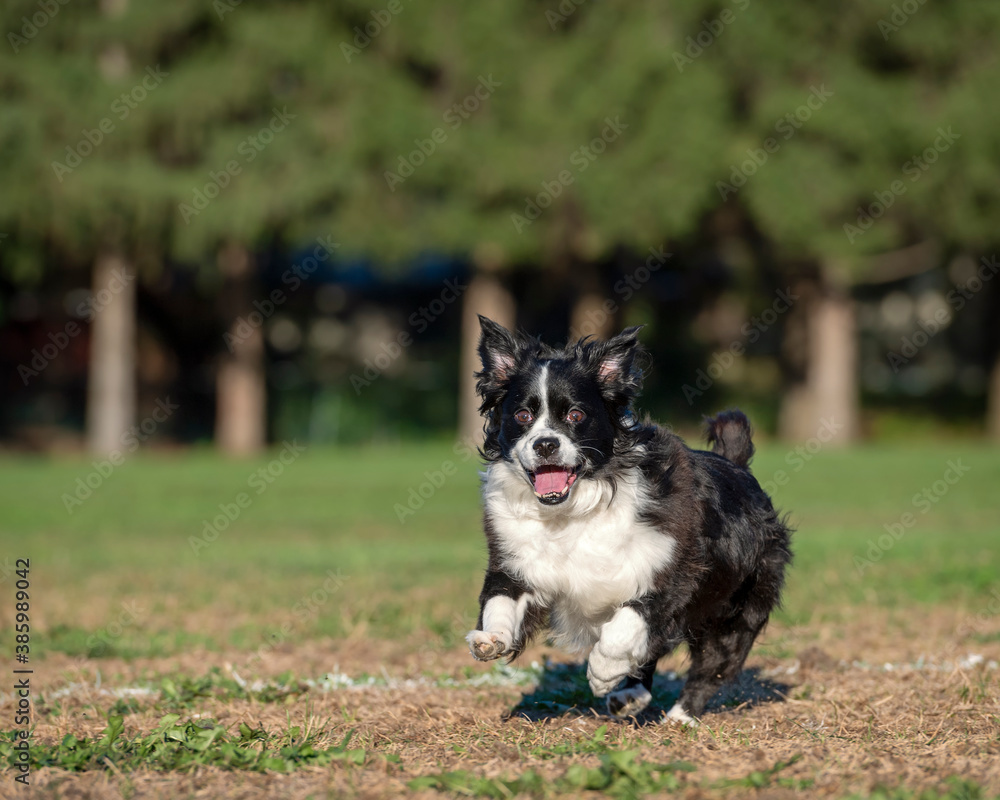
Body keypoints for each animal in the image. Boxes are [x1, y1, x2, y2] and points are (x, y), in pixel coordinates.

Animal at [464, 318, 792, 724]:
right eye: (522, 416)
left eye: (575, 415)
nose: (545, 444)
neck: (572, 511)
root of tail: (738, 465)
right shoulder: (517, 560)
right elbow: (500, 598)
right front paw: (490, 639)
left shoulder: (675, 569)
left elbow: (630, 621)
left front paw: (603, 672)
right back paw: (630, 695)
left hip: (742, 602)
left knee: (714, 662)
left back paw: (679, 716)